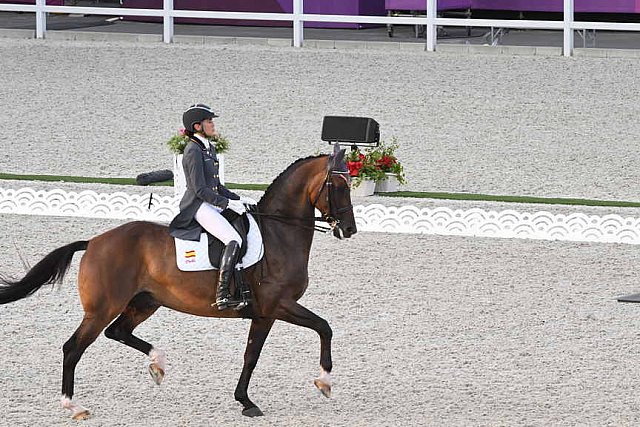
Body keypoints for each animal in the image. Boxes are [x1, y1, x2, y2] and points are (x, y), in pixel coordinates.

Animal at [0, 145, 358, 420]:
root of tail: (93, 242)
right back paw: (73, 406)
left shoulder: (264, 313)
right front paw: (323, 382)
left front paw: (244, 400)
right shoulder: (277, 306)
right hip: (102, 308)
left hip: (146, 302)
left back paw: (157, 364)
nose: (349, 229)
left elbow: (252, 355)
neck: (278, 233)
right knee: (74, 347)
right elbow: (321, 328)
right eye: (337, 186)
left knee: (118, 332)